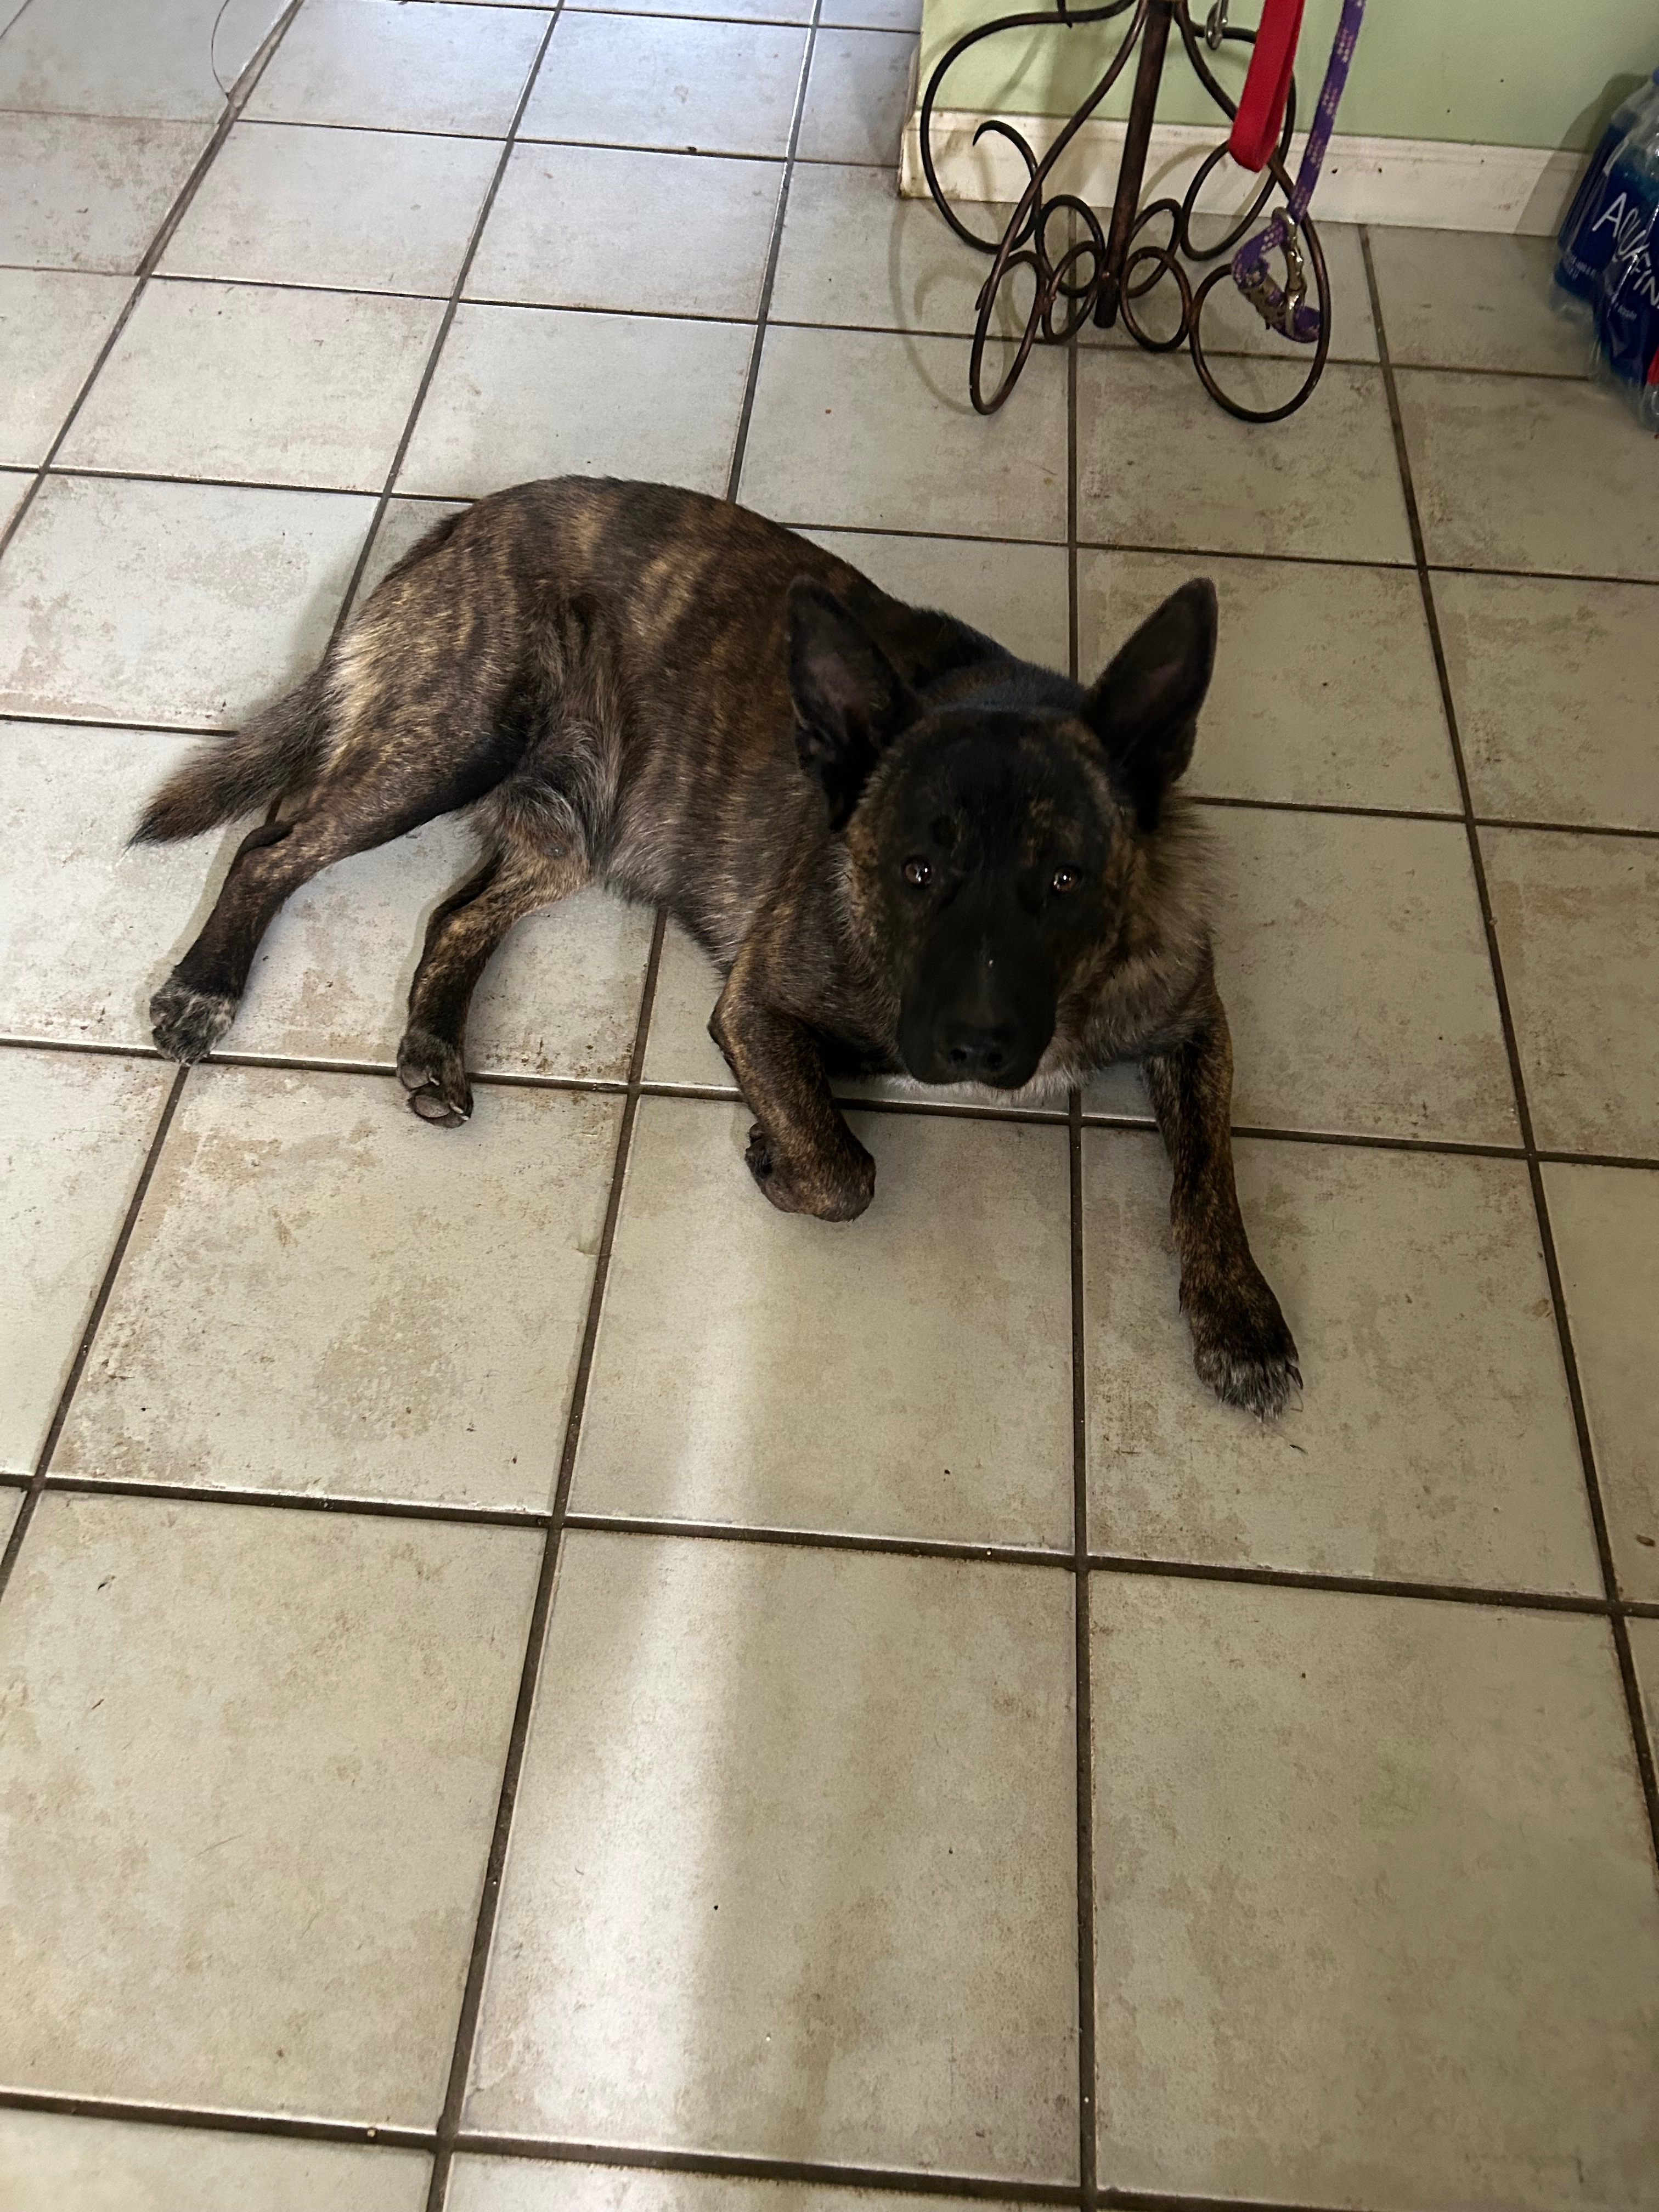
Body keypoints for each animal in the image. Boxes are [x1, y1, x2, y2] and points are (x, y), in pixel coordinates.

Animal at [135, 476, 1299, 1417]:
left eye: (1064, 882)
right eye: (912, 873)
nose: (972, 1049)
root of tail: (464, 518)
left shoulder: (1191, 1019)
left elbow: (1209, 1170)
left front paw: (1238, 1314)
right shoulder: (755, 1002)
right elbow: (844, 1172)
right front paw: (781, 1150)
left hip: (569, 830)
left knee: (453, 913)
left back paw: (430, 1040)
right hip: (448, 745)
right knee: (274, 845)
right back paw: (204, 984)